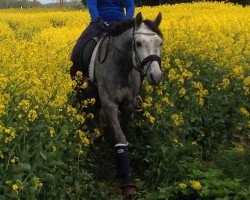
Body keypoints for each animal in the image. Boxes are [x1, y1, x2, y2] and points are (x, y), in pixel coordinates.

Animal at [73, 12, 162, 197]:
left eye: (160, 43)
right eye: (138, 43)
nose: (156, 76)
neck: (123, 66)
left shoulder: (128, 104)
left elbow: (124, 134)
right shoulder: (110, 105)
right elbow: (120, 138)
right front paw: (127, 180)